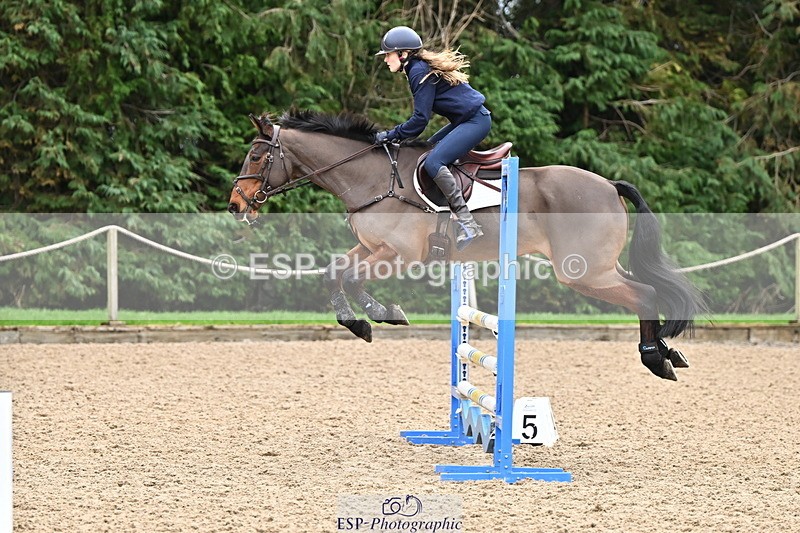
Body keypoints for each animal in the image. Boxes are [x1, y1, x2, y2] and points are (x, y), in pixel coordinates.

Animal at [227, 109, 706, 381]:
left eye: (256, 156)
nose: (235, 204)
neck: (372, 179)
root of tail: (608, 184)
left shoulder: (400, 255)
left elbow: (354, 277)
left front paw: (379, 315)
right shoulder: (372, 248)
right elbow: (335, 272)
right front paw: (366, 321)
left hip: (584, 271)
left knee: (644, 292)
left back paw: (655, 359)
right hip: (599, 267)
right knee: (648, 290)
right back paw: (670, 353)